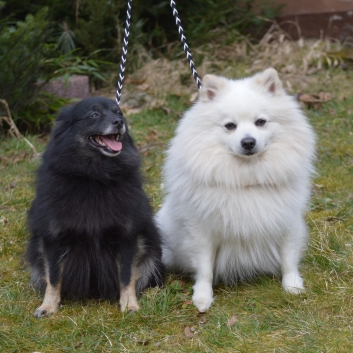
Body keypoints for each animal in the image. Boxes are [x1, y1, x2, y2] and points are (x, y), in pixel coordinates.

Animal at [26, 96, 164, 316]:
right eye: (94, 114)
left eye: (119, 113)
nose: (119, 122)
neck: (94, 175)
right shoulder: (52, 238)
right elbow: (53, 277)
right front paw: (48, 306)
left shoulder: (128, 236)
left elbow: (126, 275)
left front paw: (129, 304)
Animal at [155, 68, 314, 310]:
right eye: (230, 126)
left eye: (260, 122)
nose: (248, 142)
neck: (245, 179)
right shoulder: (201, 231)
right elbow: (205, 268)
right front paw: (202, 297)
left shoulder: (287, 220)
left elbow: (288, 258)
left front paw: (292, 285)